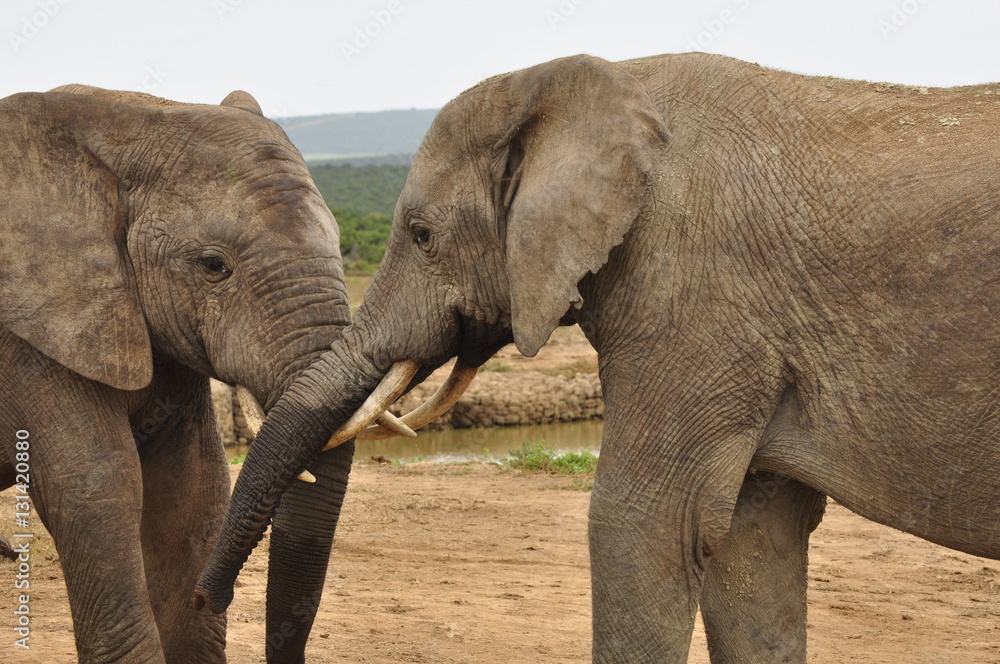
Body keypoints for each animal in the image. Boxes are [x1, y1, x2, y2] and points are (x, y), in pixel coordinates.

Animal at [195, 52, 1000, 662]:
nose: (206, 597)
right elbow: (751, 541)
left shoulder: (692, 293)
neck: (598, 82)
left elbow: (641, 526)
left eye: (422, 235)